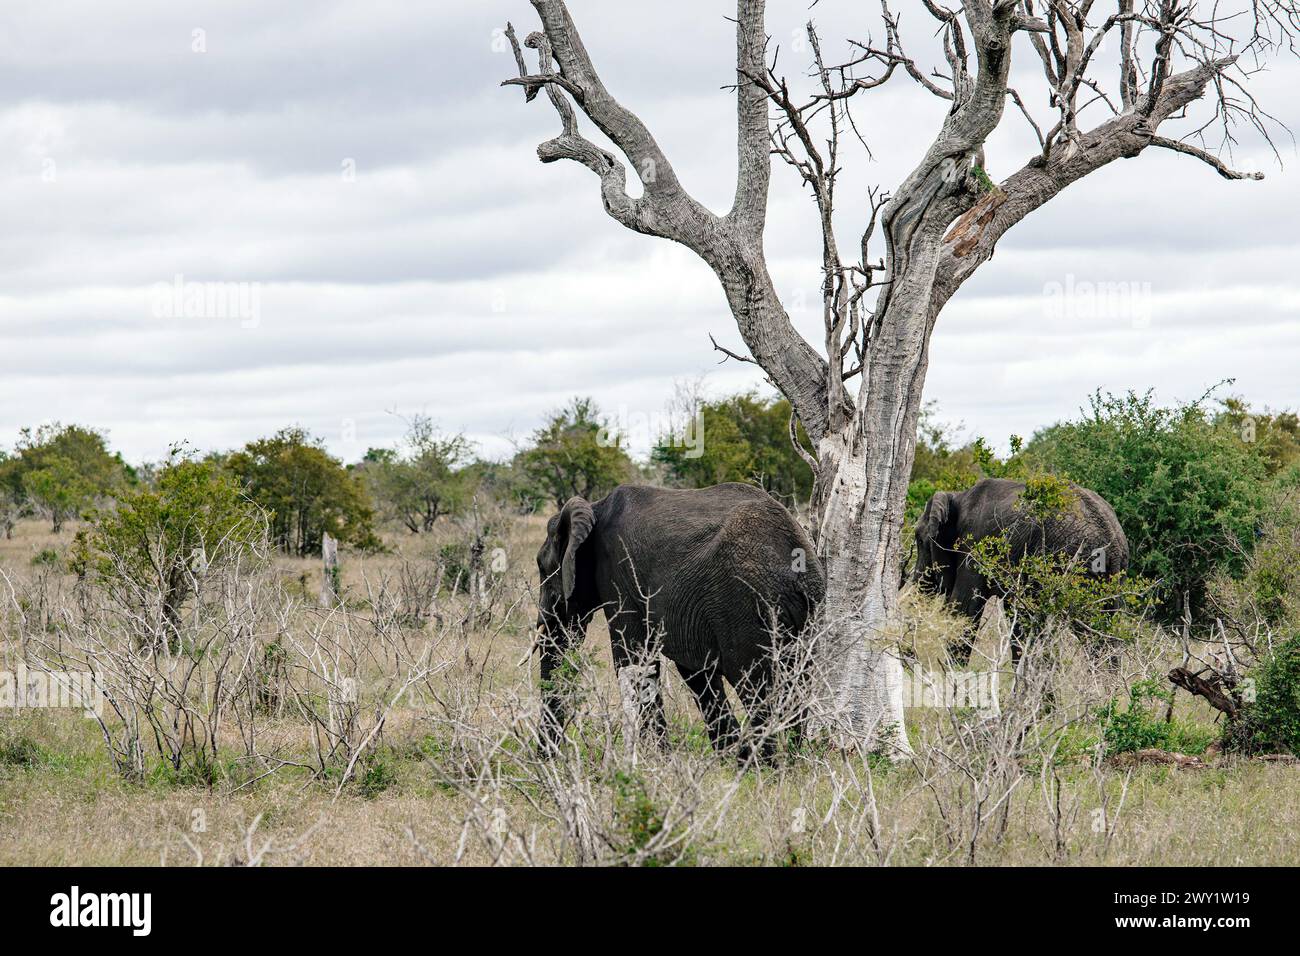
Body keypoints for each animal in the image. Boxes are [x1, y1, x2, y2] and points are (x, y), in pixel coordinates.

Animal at [535, 486, 821, 764]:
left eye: (541, 567)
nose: (546, 760)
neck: (595, 507)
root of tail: (794, 569)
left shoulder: (619, 577)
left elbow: (635, 661)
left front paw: (661, 761)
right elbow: (695, 671)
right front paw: (724, 758)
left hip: (746, 604)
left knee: (755, 686)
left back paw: (764, 767)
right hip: (809, 610)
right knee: (800, 682)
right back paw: (791, 762)